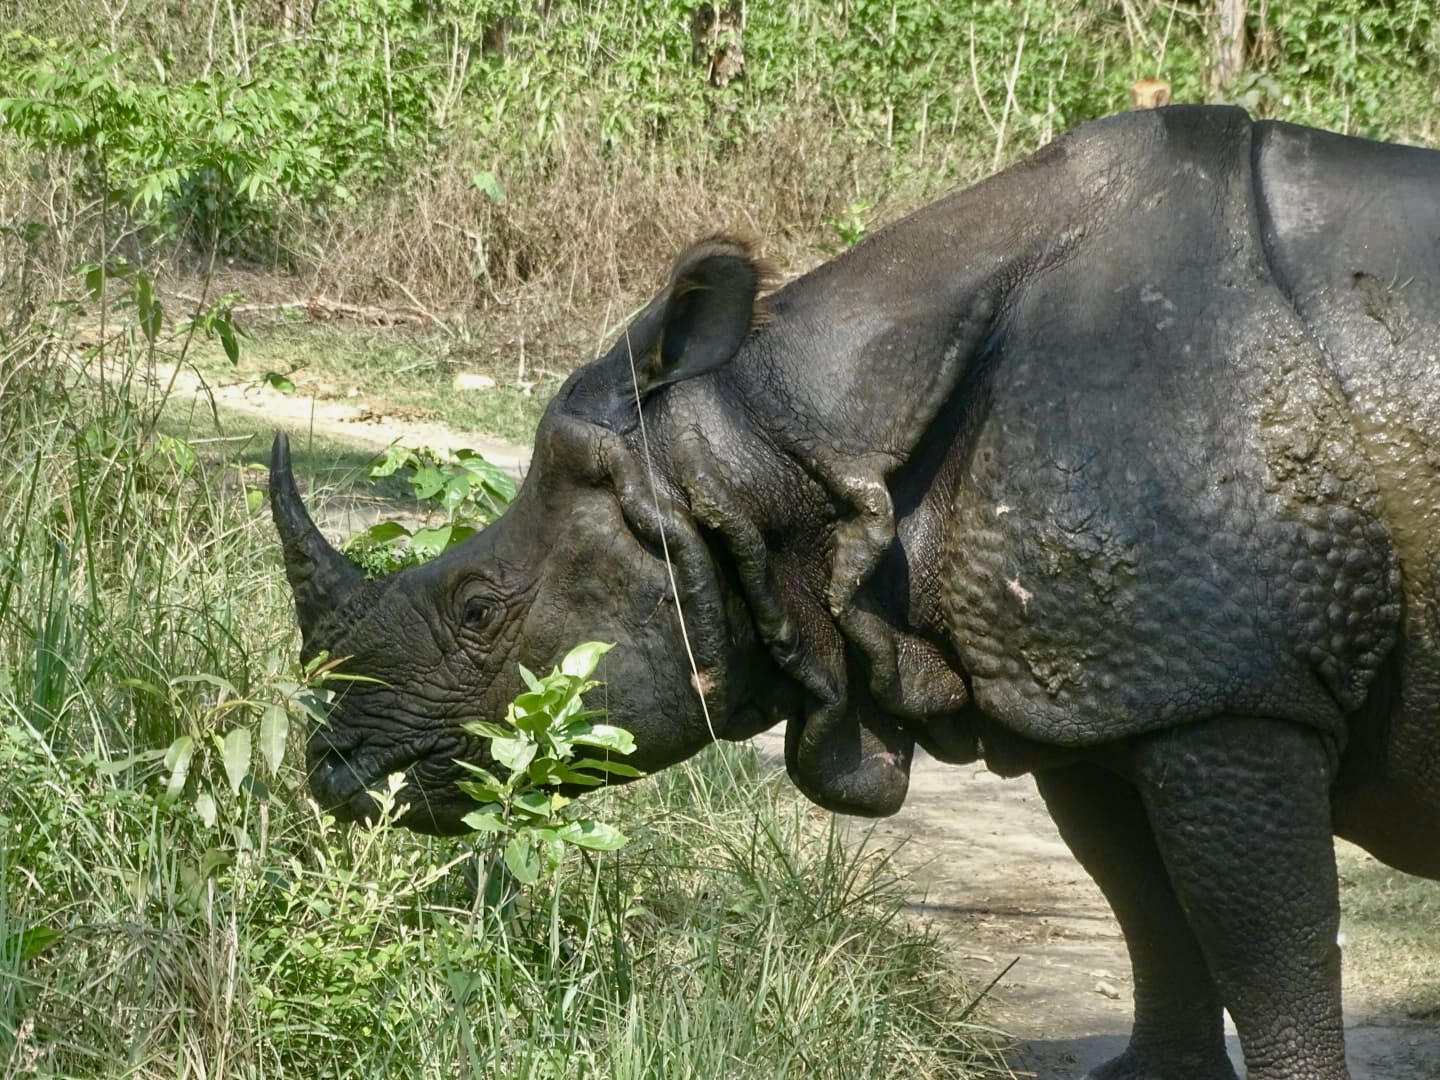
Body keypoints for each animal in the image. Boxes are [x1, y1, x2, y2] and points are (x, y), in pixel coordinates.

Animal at [271, 105, 1440, 1080]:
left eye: (478, 611)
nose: (333, 770)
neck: (771, 444)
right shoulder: (1107, 688)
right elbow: (1144, 903)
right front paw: (1154, 1077)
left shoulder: (1233, 692)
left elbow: (1269, 946)